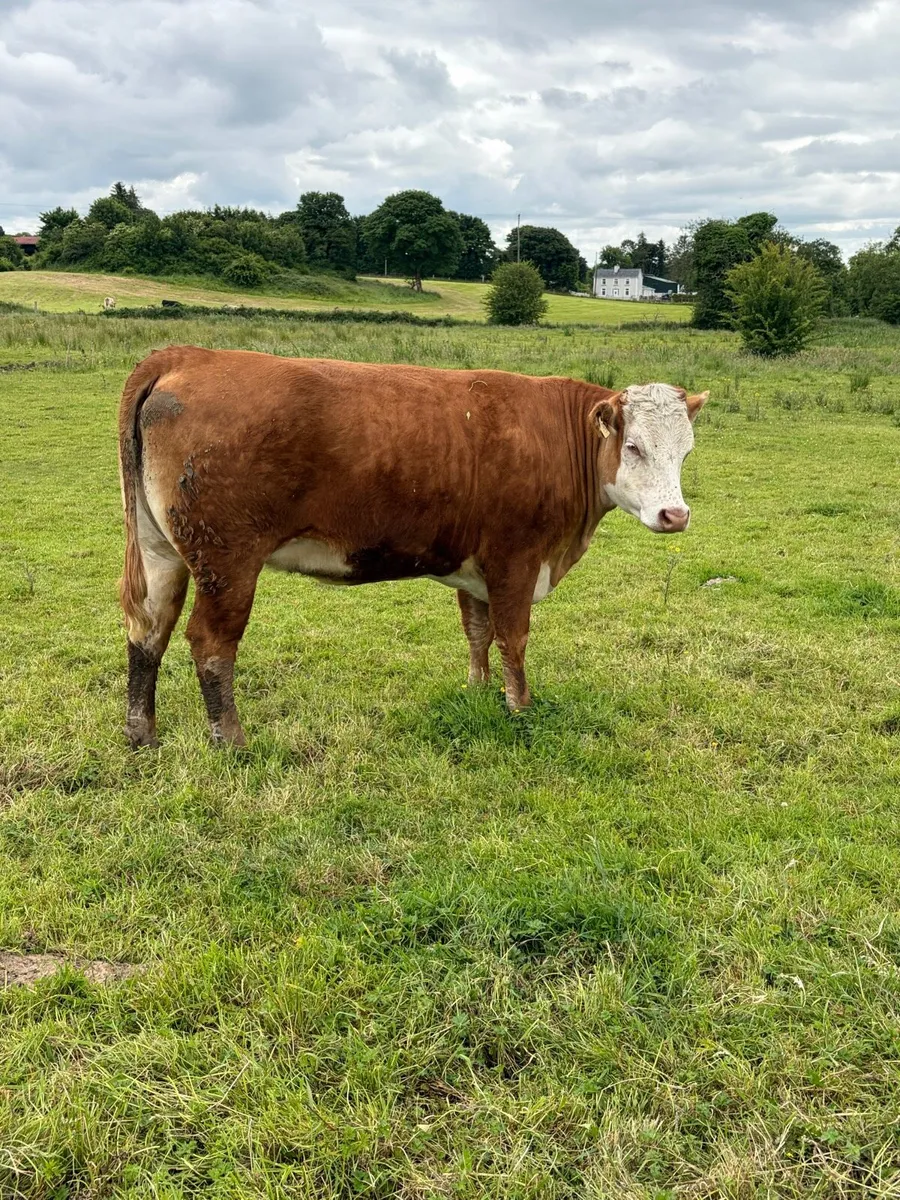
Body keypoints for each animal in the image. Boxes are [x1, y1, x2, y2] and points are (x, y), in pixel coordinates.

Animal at [118, 346, 707, 748]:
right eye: (634, 446)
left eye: (686, 452)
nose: (675, 516)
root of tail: (189, 355)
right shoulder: (515, 559)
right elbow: (513, 639)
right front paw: (520, 707)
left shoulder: (476, 565)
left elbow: (478, 632)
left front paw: (478, 692)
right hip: (228, 562)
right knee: (211, 643)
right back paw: (232, 741)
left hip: (160, 549)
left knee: (149, 628)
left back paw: (142, 733)